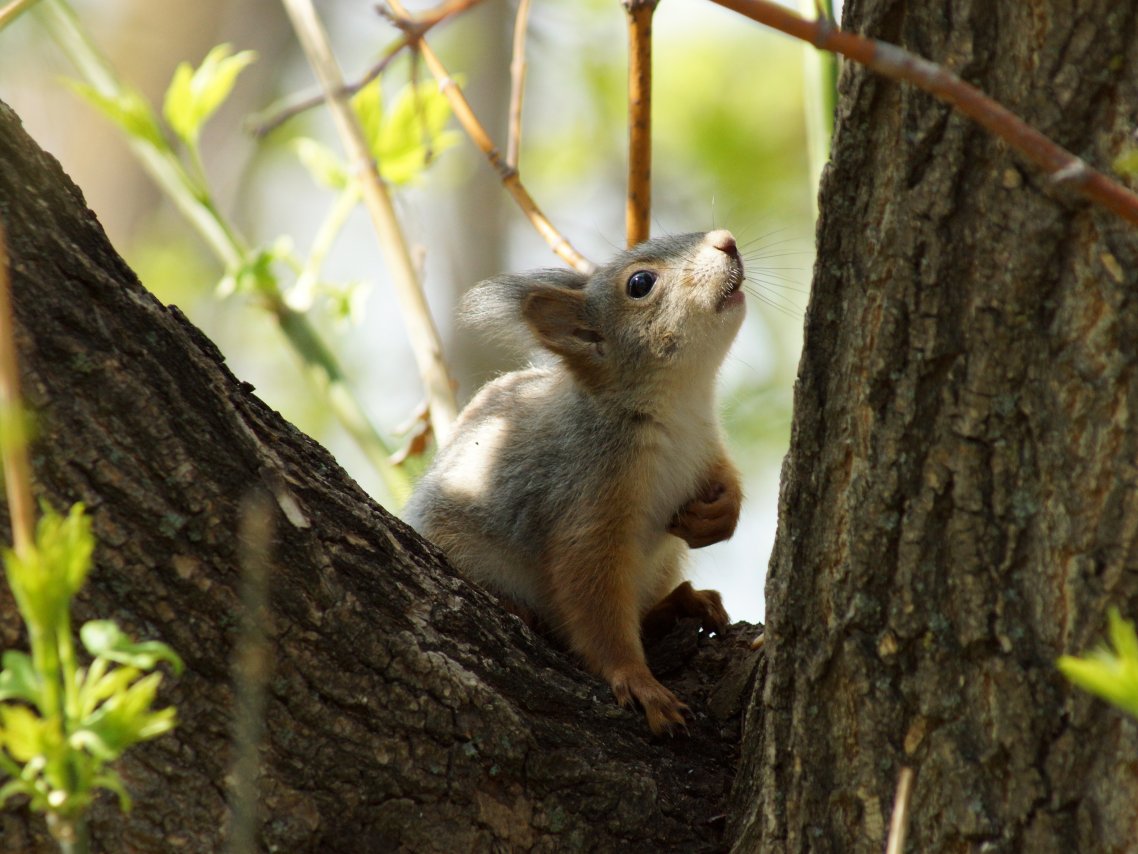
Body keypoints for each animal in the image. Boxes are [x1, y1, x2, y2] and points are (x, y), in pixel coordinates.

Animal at [407, 228, 746, 737]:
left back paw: (682, 604)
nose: (725, 240)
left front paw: (722, 512)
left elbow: (723, 476)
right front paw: (638, 682)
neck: (679, 408)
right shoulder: (586, 489)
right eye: (640, 284)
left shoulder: (706, 446)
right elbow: (590, 590)